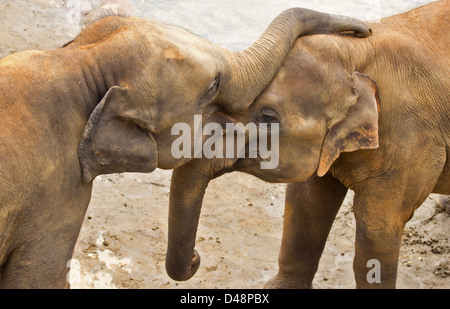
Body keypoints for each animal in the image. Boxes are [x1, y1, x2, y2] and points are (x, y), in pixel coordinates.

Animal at [165, 0, 450, 288]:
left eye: (267, 117)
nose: (196, 258)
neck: (357, 53)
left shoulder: (413, 139)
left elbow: (377, 229)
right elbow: (306, 204)